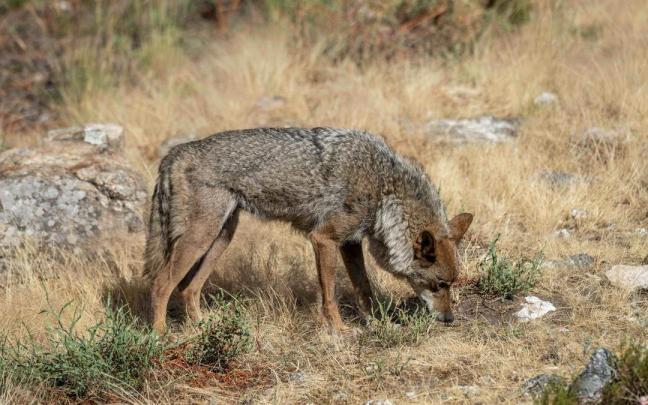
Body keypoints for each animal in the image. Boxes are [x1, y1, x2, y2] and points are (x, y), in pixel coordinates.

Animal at [144, 127, 473, 333]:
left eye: (451, 284)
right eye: (439, 285)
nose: (448, 318)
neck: (384, 188)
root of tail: (173, 153)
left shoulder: (350, 243)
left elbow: (364, 289)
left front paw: (379, 324)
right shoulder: (324, 238)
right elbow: (329, 296)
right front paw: (340, 331)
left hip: (222, 236)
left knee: (188, 288)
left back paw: (203, 327)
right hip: (202, 237)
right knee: (161, 285)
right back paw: (161, 336)